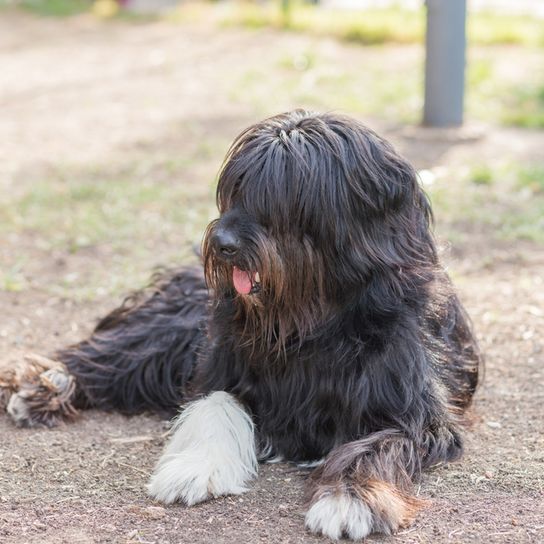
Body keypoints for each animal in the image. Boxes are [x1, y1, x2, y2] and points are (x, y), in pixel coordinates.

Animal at [3, 109, 480, 540]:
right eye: (236, 190)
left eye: (286, 196)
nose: (222, 243)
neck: (310, 322)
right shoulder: (222, 364)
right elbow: (215, 405)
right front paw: (194, 468)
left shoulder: (414, 412)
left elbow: (378, 444)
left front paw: (352, 498)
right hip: (171, 331)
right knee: (108, 356)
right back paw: (44, 382)